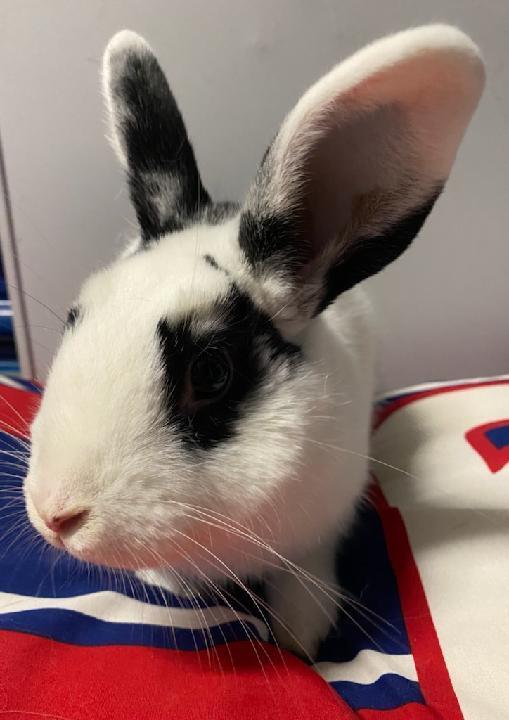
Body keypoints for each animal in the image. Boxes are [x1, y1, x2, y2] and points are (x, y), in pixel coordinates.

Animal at [23, 25, 484, 658]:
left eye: (211, 371)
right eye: (76, 317)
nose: (56, 515)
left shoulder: (317, 536)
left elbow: (304, 585)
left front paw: (299, 641)